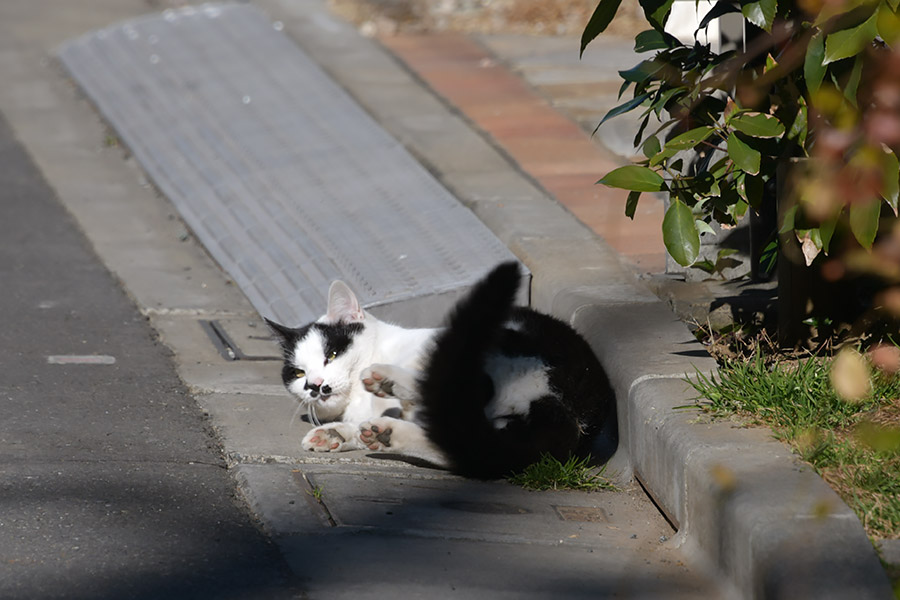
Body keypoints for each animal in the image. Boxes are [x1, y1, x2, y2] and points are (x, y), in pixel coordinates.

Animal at [268, 262, 616, 478]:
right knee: (466, 448)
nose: (316, 385)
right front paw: (337, 434)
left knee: (470, 390)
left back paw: (391, 383)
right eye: (298, 374)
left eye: (332, 354)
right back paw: (387, 434)